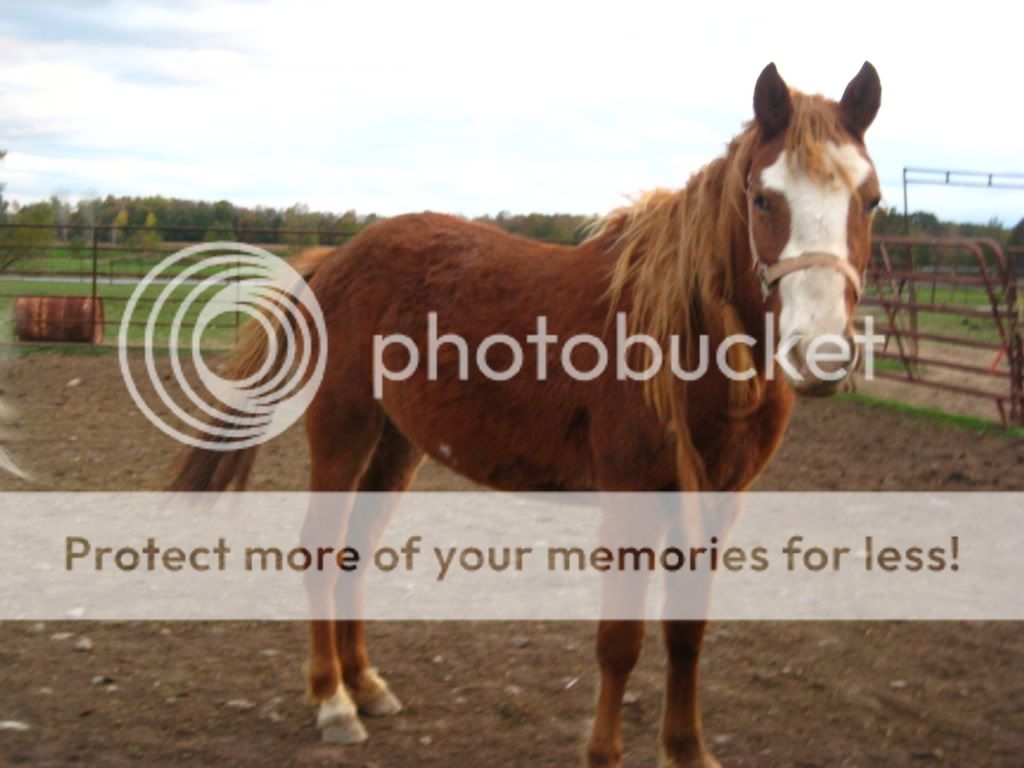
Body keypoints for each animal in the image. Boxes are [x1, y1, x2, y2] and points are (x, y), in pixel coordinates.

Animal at [169, 64, 880, 768]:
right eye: (764, 198)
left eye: (870, 199)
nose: (820, 353)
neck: (684, 333)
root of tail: (337, 261)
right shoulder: (633, 498)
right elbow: (620, 641)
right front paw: (604, 754)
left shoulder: (718, 502)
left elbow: (687, 633)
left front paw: (686, 750)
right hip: (344, 431)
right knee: (320, 548)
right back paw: (333, 702)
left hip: (396, 445)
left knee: (354, 552)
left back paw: (365, 685)